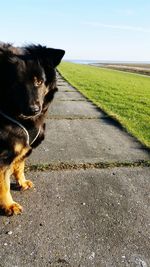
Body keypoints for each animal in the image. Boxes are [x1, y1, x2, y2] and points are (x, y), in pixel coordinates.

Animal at [0, 43, 64, 217]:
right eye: (16, 83)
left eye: (39, 82)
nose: (34, 109)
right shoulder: (3, 155)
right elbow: (4, 183)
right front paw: (8, 205)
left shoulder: (24, 148)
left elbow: (19, 166)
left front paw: (22, 182)